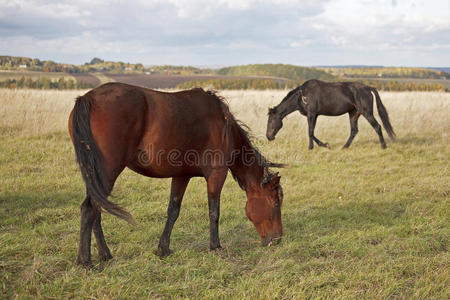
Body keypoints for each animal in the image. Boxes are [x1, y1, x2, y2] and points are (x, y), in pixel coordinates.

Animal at [68, 82, 284, 268]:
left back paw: (104, 254)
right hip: (107, 172)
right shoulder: (217, 174)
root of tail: (88, 98)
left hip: (94, 176)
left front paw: (163, 249)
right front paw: (215, 246)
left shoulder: (182, 176)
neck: (225, 127)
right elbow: (214, 212)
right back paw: (85, 261)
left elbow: (173, 211)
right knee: (89, 209)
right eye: (275, 204)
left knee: (96, 209)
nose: (277, 239)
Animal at [266, 79, 396, 149]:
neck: (302, 96)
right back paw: (344, 147)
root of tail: (368, 88)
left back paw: (383, 146)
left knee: (377, 126)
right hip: (353, 113)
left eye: (271, 120)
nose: (268, 137)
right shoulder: (314, 115)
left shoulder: (312, 114)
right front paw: (314, 146)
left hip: (367, 113)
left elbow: (310, 132)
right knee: (354, 130)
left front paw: (323, 145)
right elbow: (311, 132)